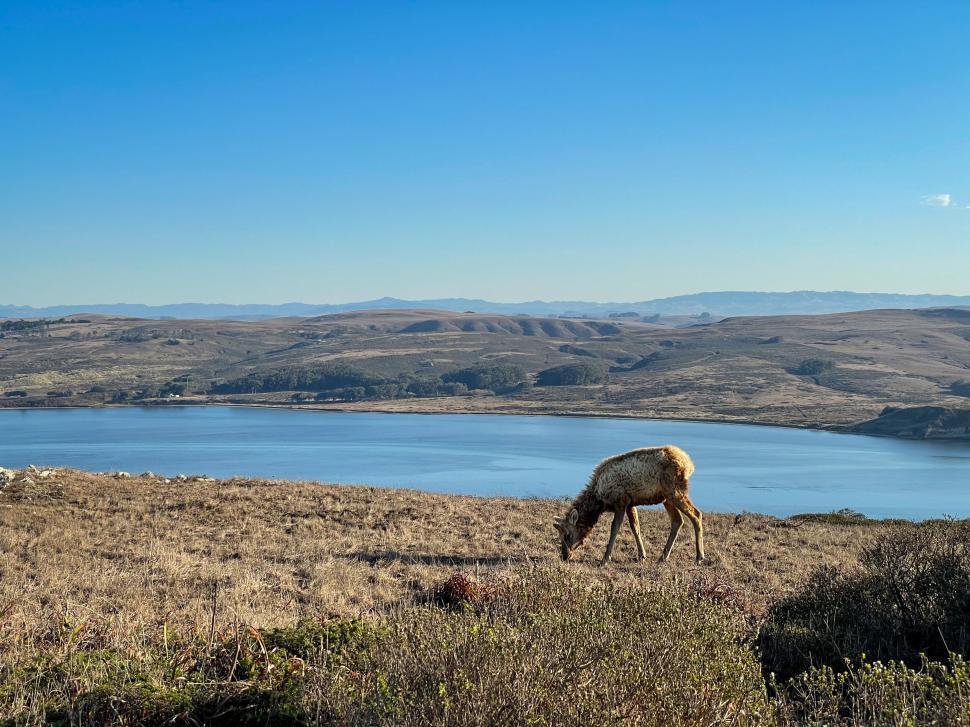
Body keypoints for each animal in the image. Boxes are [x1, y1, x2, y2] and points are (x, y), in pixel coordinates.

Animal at [553, 445, 705, 565]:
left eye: (567, 535)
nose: (564, 556)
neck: (600, 501)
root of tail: (689, 464)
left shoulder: (620, 501)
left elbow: (614, 528)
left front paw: (605, 559)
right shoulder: (631, 503)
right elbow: (635, 527)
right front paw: (642, 555)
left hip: (675, 491)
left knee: (696, 514)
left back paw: (699, 557)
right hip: (666, 498)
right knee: (677, 520)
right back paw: (663, 557)